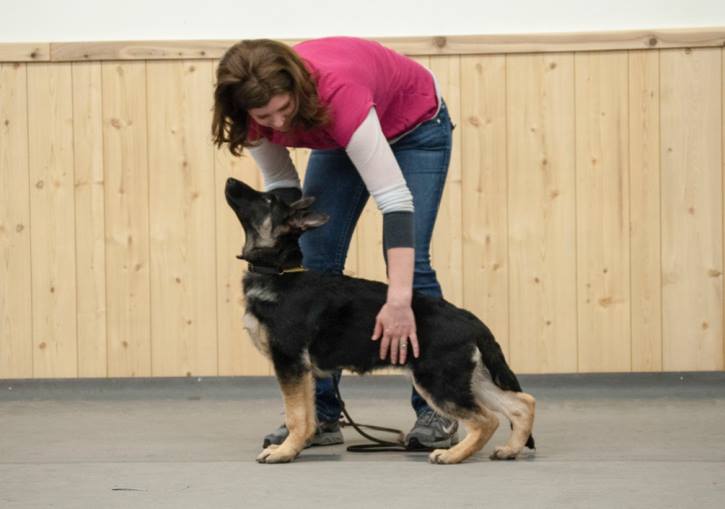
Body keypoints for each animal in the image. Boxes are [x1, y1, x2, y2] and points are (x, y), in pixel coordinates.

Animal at [223, 176, 536, 464]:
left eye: (267, 201)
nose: (230, 181)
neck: (278, 271)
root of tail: (472, 321)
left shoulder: (289, 363)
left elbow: (296, 416)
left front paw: (285, 451)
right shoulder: (303, 371)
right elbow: (307, 416)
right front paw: (295, 446)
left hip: (438, 381)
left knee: (487, 420)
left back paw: (453, 455)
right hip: (468, 379)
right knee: (522, 404)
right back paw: (510, 449)